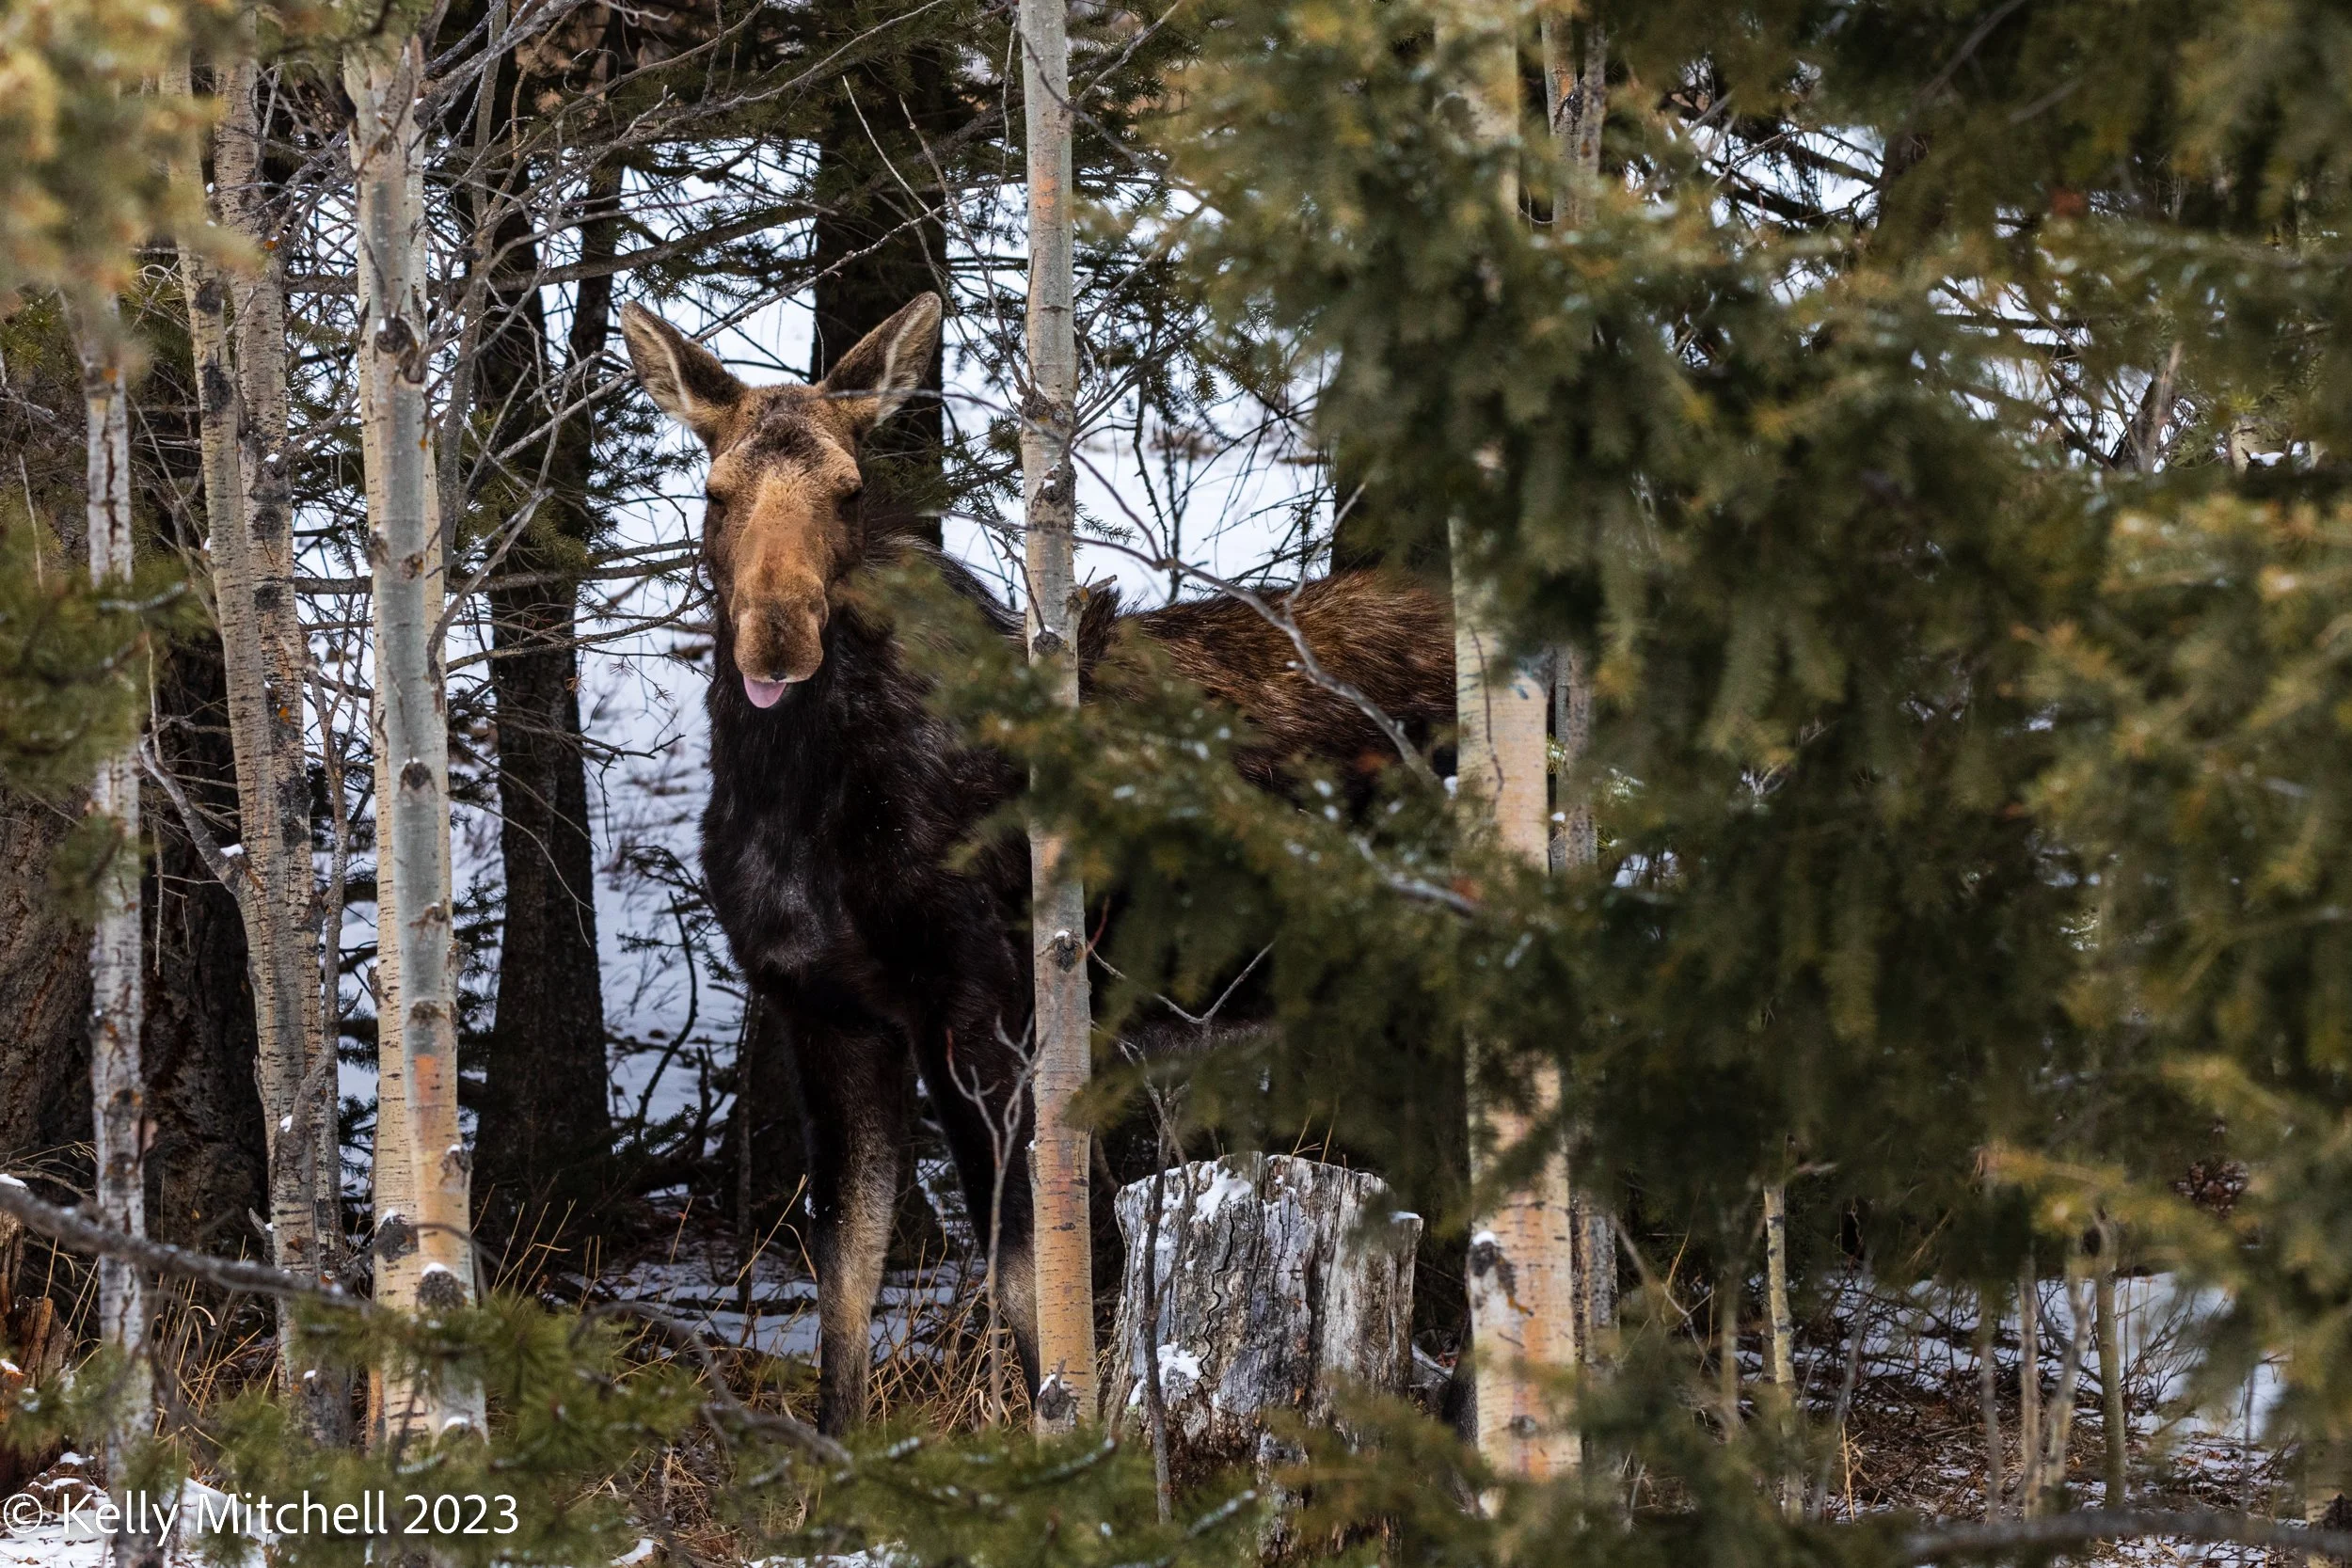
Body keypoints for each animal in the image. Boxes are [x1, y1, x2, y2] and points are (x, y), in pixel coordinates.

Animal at [619, 291, 1454, 1433]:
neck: (797, 799)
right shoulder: (825, 1011)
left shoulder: (984, 1013)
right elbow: (845, 1275)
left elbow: (1031, 1289)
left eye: (848, 488)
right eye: (714, 490)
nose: (778, 637)